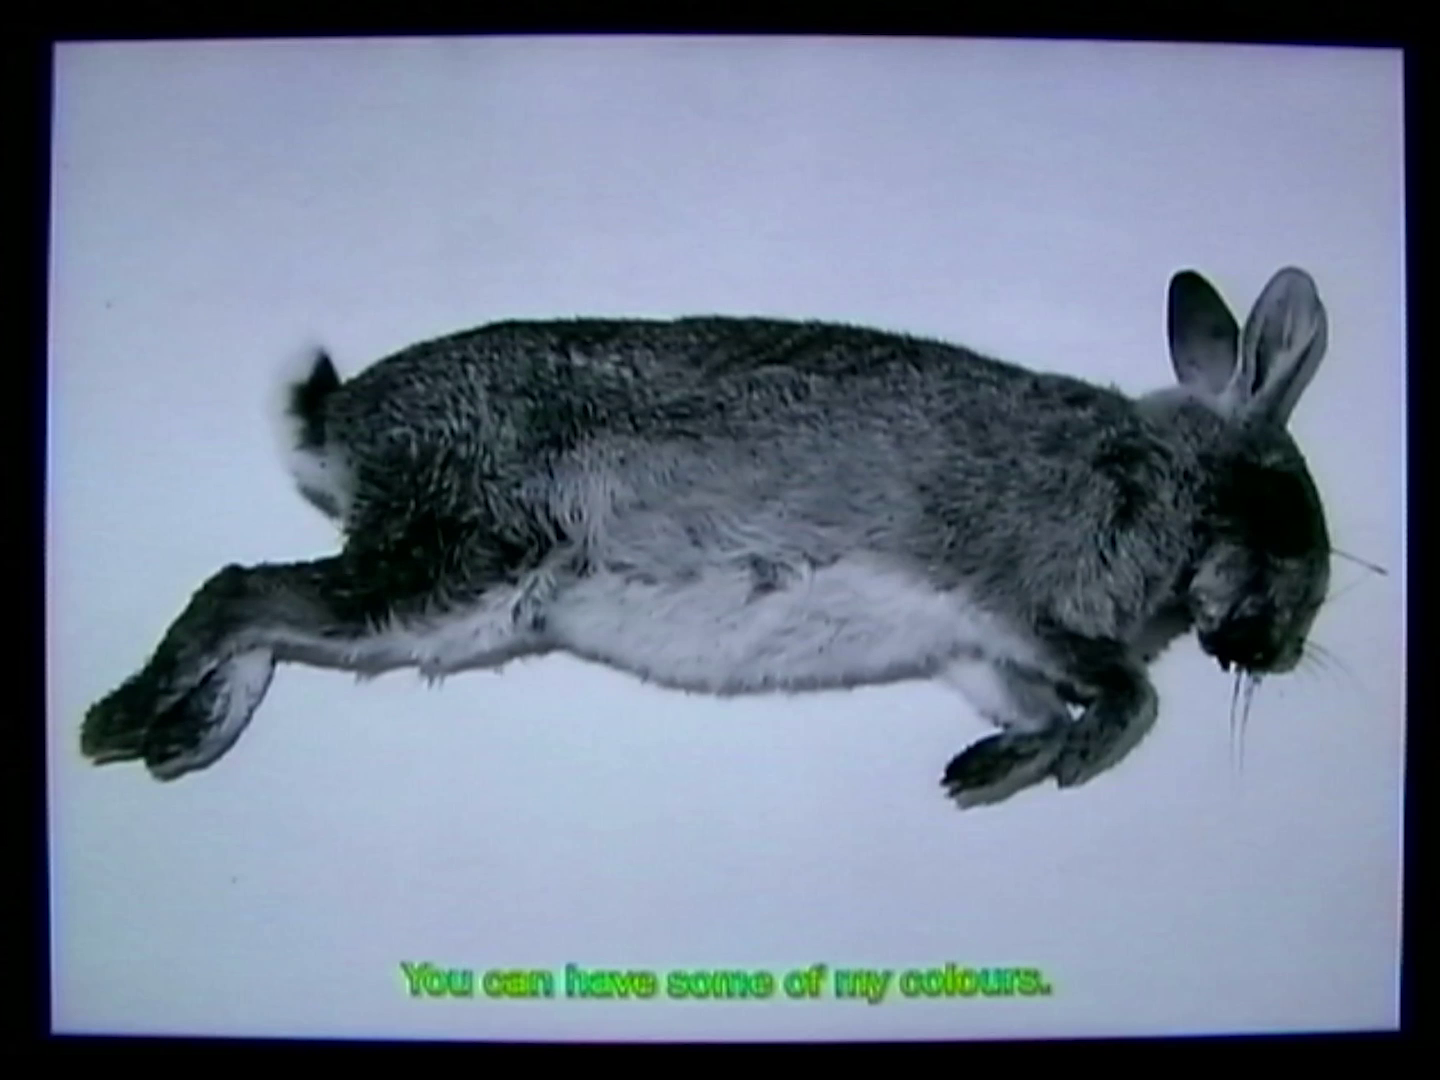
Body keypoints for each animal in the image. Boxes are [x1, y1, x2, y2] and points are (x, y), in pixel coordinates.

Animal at [79, 266, 1332, 808]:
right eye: (1288, 516)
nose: (1273, 651)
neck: (1166, 482)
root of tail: (342, 422)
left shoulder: (979, 649)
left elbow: (1025, 706)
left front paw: (985, 774)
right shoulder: (1025, 600)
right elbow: (1124, 692)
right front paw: (1071, 760)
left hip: (450, 599)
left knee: (265, 607)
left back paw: (182, 737)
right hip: (459, 567)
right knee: (241, 589)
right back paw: (126, 722)